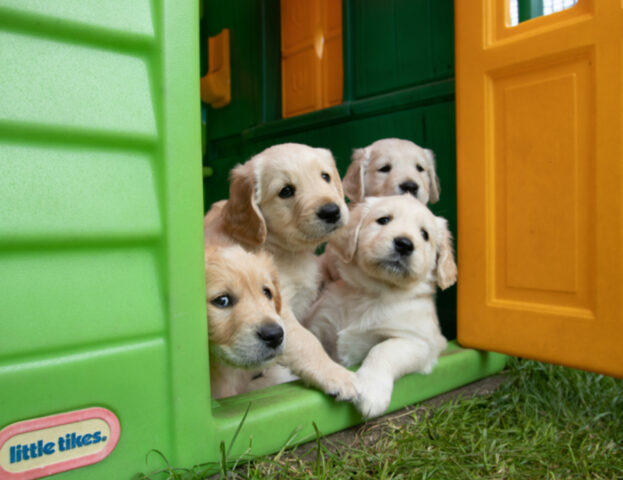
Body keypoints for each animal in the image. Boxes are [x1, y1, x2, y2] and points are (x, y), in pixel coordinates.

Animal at [205, 142, 358, 402]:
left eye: (325, 176)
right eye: (286, 191)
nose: (331, 211)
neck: (284, 251)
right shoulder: (279, 311)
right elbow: (308, 342)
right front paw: (338, 375)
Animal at [308, 195, 458, 416]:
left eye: (424, 234)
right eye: (384, 220)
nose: (404, 244)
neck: (373, 292)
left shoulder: (422, 341)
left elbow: (383, 349)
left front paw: (371, 391)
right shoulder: (319, 325)